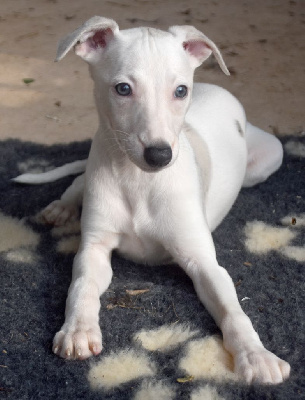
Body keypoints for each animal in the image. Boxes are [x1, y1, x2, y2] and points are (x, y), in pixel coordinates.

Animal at [14, 18, 290, 384]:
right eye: (123, 89)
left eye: (181, 91)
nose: (160, 155)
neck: (139, 182)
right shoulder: (94, 248)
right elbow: (82, 285)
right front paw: (78, 331)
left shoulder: (204, 262)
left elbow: (233, 310)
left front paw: (256, 356)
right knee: (79, 178)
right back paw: (62, 207)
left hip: (268, 158)